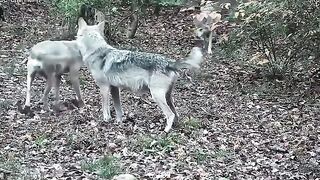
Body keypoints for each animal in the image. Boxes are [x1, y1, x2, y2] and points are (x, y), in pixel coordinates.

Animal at [76, 17, 204, 132]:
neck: (96, 51)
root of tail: (169, 62)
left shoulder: (104, 87)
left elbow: (105, 108)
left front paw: (106, 120)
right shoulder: (114, 88)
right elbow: (118, 109)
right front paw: (119, 122)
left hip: (156, 96)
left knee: (170, 114)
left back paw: (166, 131)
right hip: (167, 97)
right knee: (175, 113)